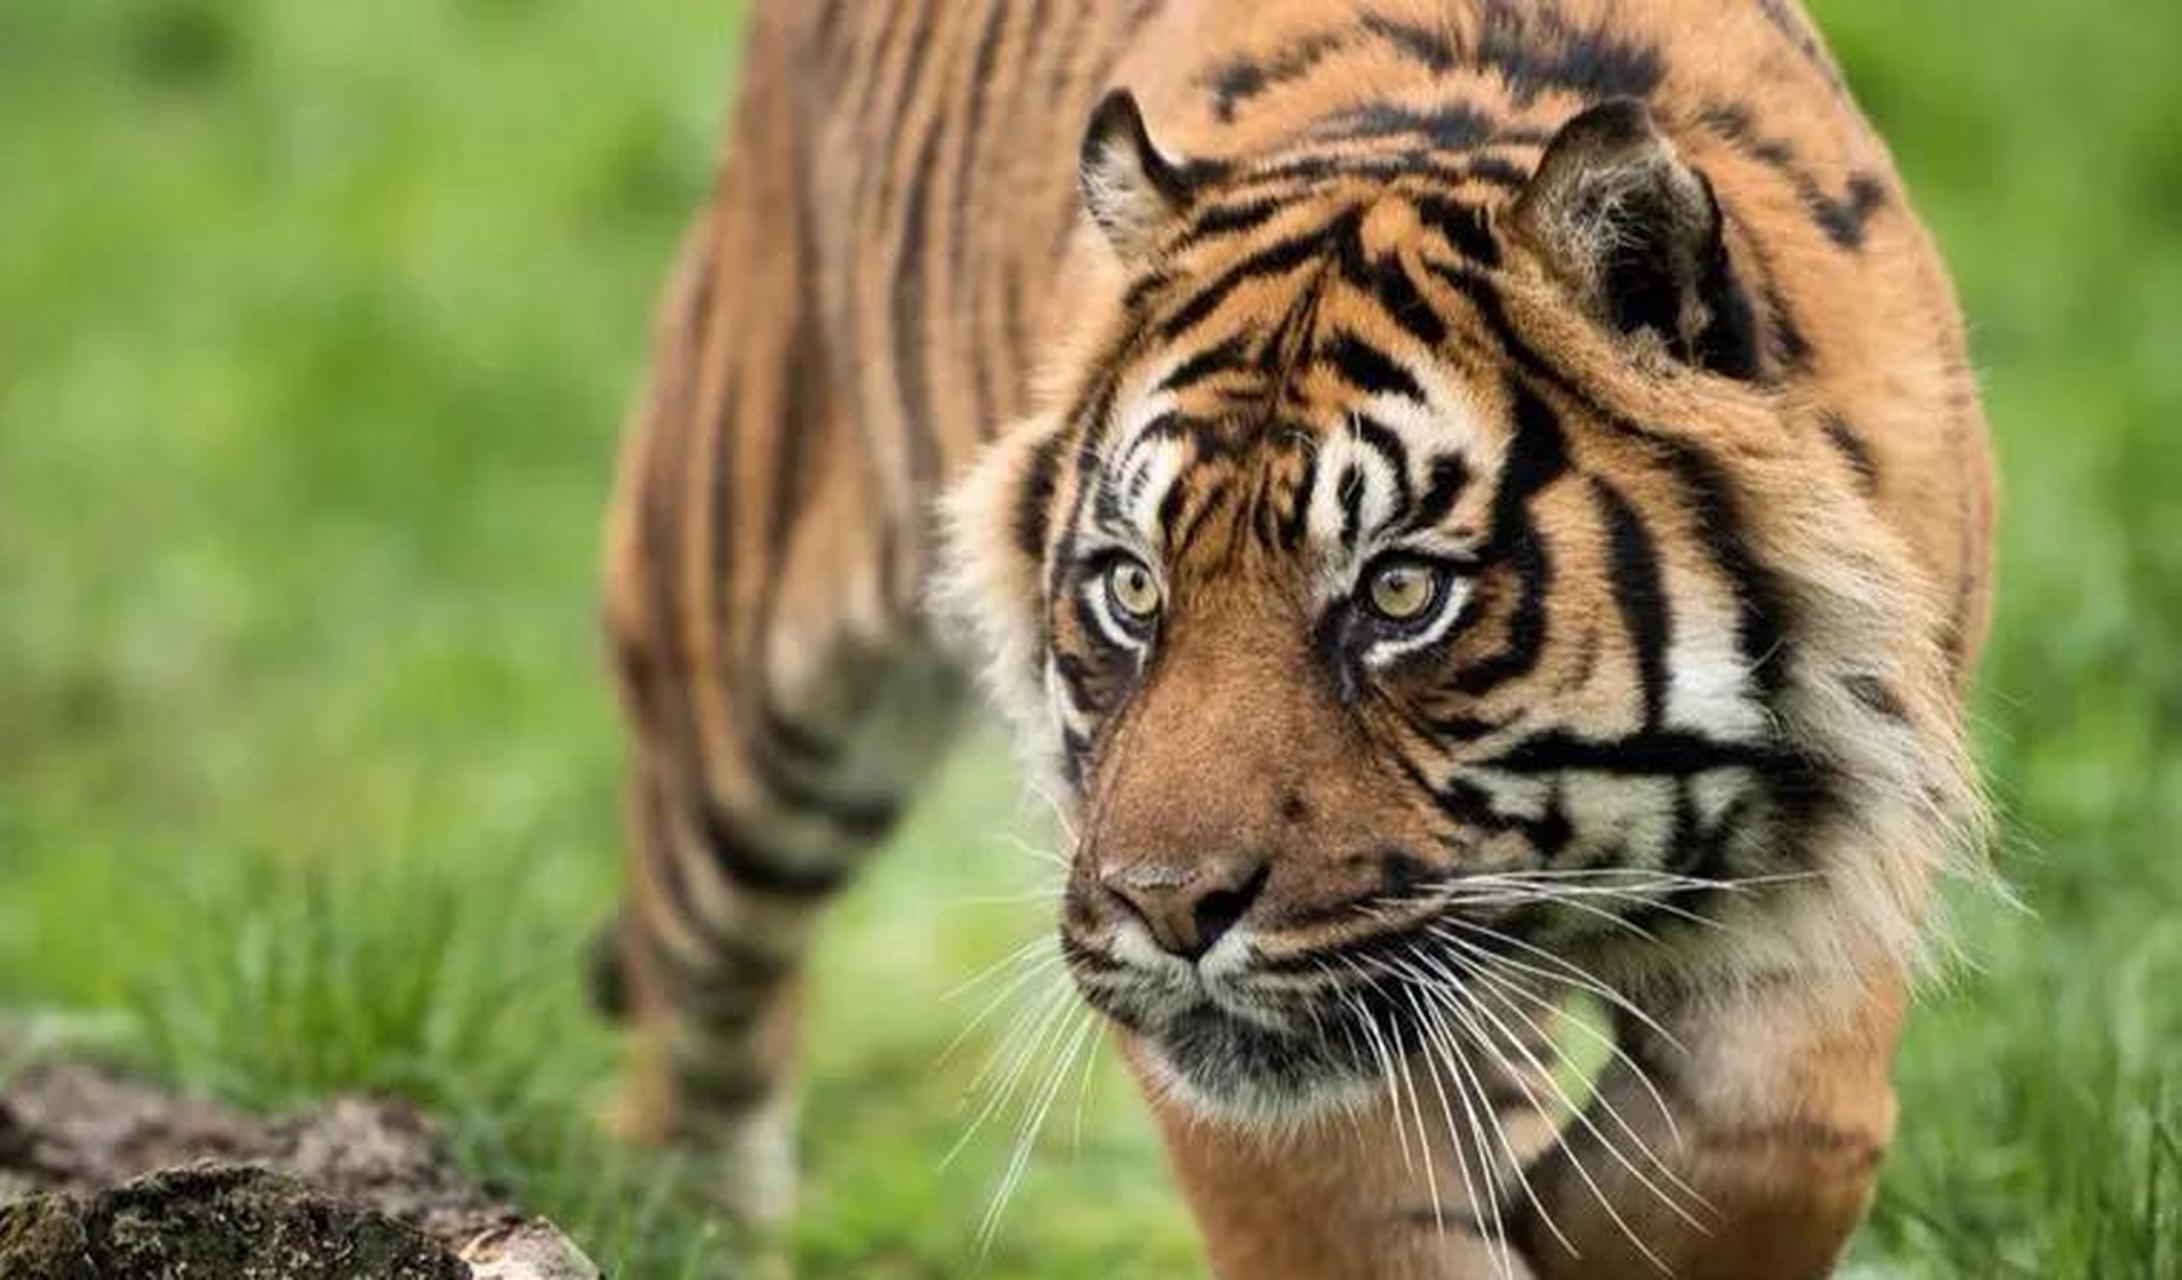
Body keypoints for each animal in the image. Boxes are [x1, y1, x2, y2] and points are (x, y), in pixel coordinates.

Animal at [594, 0, 1995, 1275]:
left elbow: (1783, 1132)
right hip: (744, 702)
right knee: (690, 997)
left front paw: (1567, 1218)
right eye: (1133, 587)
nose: (1165, 908)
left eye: (1398, 595)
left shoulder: (1853, 833)